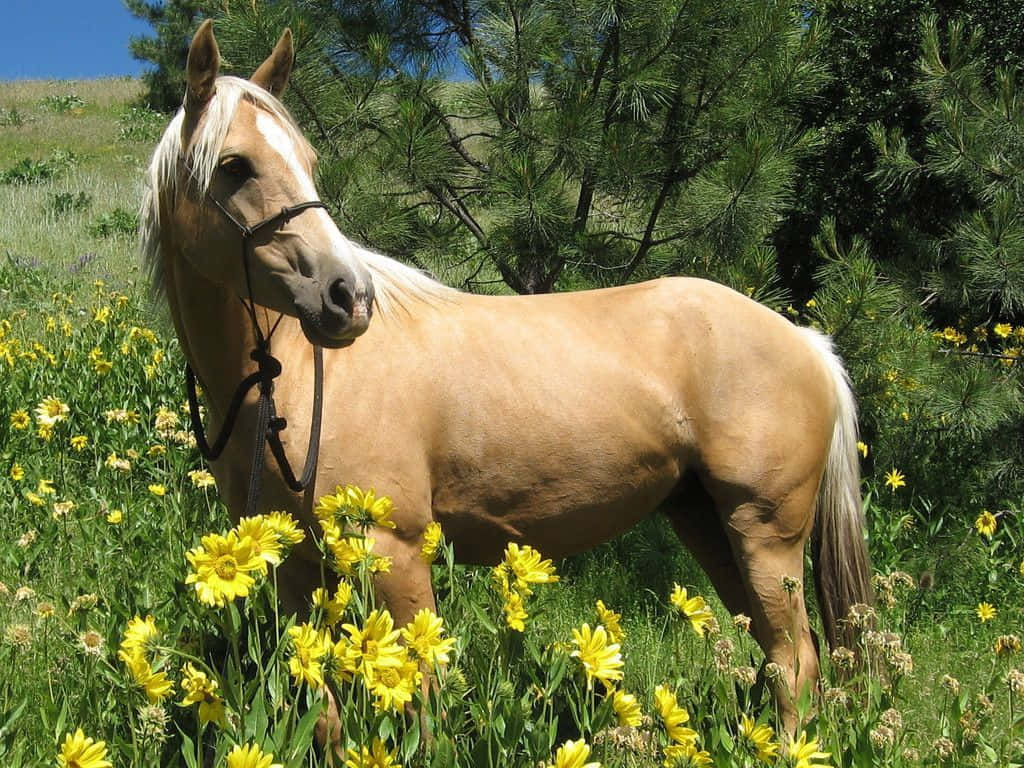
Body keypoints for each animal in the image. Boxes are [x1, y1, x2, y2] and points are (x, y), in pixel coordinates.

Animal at [142, 20, 872, 733]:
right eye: (234, 165)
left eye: (307, 161)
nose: (347, 296)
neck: (295, 379)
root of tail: (808, 343)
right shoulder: (293, 567)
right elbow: (322, 715)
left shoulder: (395, 551)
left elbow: (422, 705)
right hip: (707, 523)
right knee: (780, 657)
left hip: (764, 533)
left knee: (796, 662)